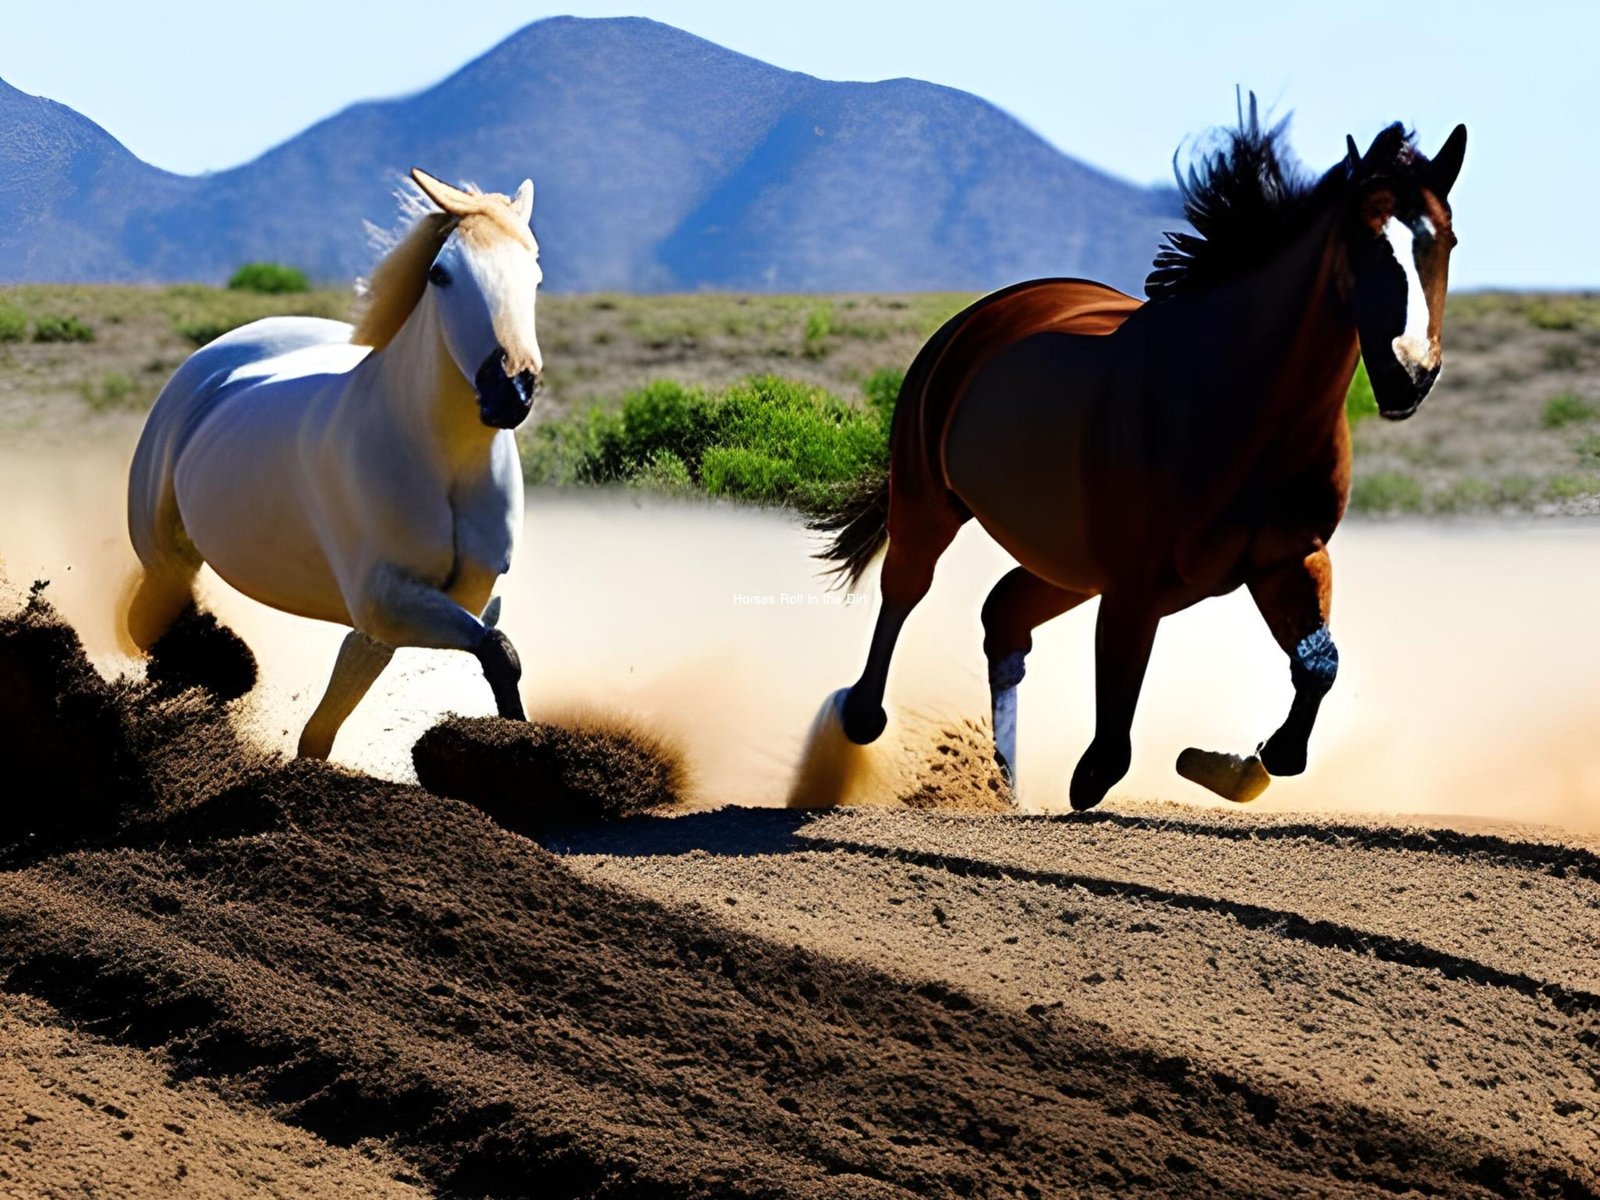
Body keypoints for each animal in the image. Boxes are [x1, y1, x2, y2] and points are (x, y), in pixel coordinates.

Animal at [126, 169, 543, 759]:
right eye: (440, 274)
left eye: (535, 275)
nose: (509, 392)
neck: (444, 460)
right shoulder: (385, 600)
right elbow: (497, 649)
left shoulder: (422, 612)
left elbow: (329, 721)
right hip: (165, 556)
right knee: (146, 623)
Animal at [813, 101, 1467, 811]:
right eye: (1364, 241)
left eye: (1447, 241)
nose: (1409, 375)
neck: (1246, 412)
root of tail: (981, 317)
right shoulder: (1136, 585)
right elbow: (1107, 751)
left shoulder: (1288, 559)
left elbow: (1317, 667)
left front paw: (1237, 766)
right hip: (932, 502)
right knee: (904, 594)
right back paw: (863, 721)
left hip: (1066, 564)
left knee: (1004, 619)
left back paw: (1005, 784)